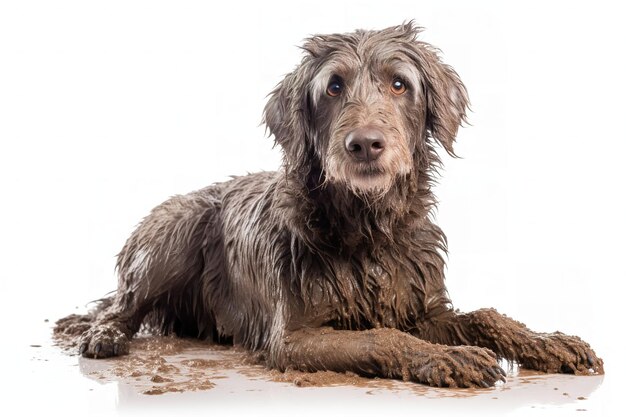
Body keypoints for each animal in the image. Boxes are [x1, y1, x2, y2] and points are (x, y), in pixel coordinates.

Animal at [56, 22, 604, 386]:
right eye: (334, 87)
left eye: (399, 83)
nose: (365, 144)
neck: (368, 227)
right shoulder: (294, 338)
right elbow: (381, 337)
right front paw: (451, 358)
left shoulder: (420, 305)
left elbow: (486, 316)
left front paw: (547, 342)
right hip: (173, 231)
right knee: (124, 304)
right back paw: (105, 334)